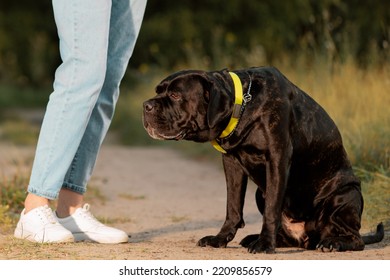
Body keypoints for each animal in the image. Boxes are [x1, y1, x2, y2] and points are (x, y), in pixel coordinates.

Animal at [142, 66, 382, 253]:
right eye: (158, 91)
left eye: (175, 96)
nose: (146, 105)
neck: (243, 105)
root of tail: (309, 239)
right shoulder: (232, 164)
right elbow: (233, 207)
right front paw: (220, 239)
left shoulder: (277, 159)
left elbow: (271, 209)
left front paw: (265, 244)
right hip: (260, 192)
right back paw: (255, 238)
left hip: (345, 195)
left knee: (355, 238)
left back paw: (334, 242)